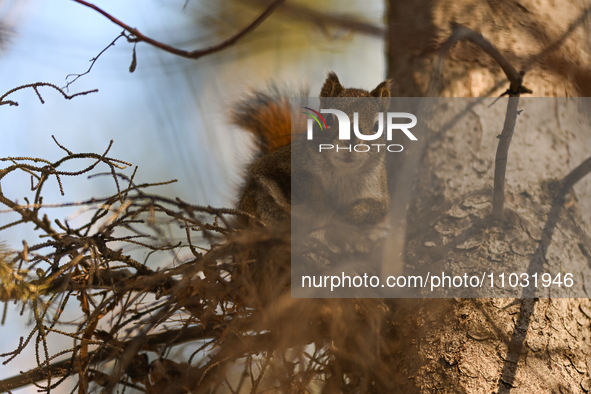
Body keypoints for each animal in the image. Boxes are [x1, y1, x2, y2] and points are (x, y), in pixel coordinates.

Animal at [232, 71, 394, 234]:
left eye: (377, 126)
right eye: (329, 118)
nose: (351, 141)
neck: (342, 172)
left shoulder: (378, 190)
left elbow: (375, 210)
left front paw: (348, 215)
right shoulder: (287, 165)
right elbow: (305, 188)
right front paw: (325, 208)